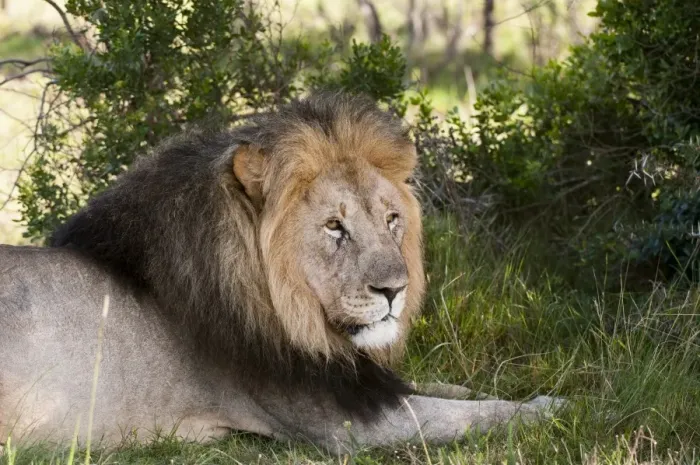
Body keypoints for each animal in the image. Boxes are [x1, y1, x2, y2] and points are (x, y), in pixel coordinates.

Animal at [0, 92, 557, 453]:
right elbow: (474, 414)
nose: (395, 290)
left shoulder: (360, 381)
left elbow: (456, 390)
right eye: (335, 226)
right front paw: (554, 408)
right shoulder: (346, 423)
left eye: (391, 219)